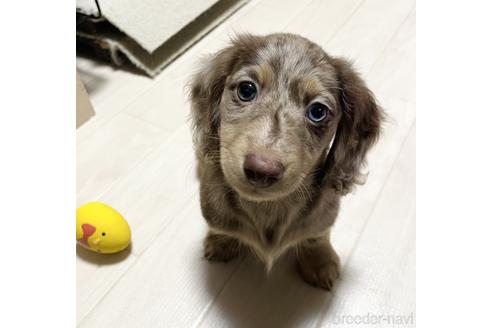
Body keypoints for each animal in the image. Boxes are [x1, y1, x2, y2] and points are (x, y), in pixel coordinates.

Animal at [189, 33, 384, 290]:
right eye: (246, 89)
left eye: (318, 111)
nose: (262, 170)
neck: (268, 206)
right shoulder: (212, 208)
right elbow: (220, 227)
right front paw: (221, 242)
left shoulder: (323, 217)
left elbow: (315, 236)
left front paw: (319, 262)